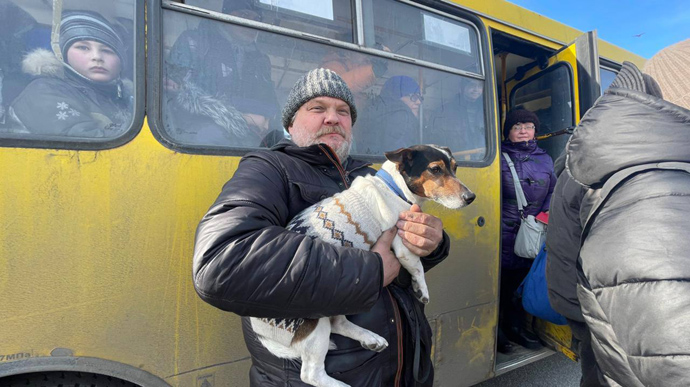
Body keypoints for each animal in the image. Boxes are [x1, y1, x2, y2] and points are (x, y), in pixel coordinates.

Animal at [250, 146, 476, 387]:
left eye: (455, 167)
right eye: (435, 169)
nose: (471, 197)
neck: (394, 188)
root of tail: (262, 332)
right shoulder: (401, 243)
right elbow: (417, 267)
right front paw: (421, 290)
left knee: (339, 324)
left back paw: (370, 338)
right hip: (315, 322)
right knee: (311, 374)